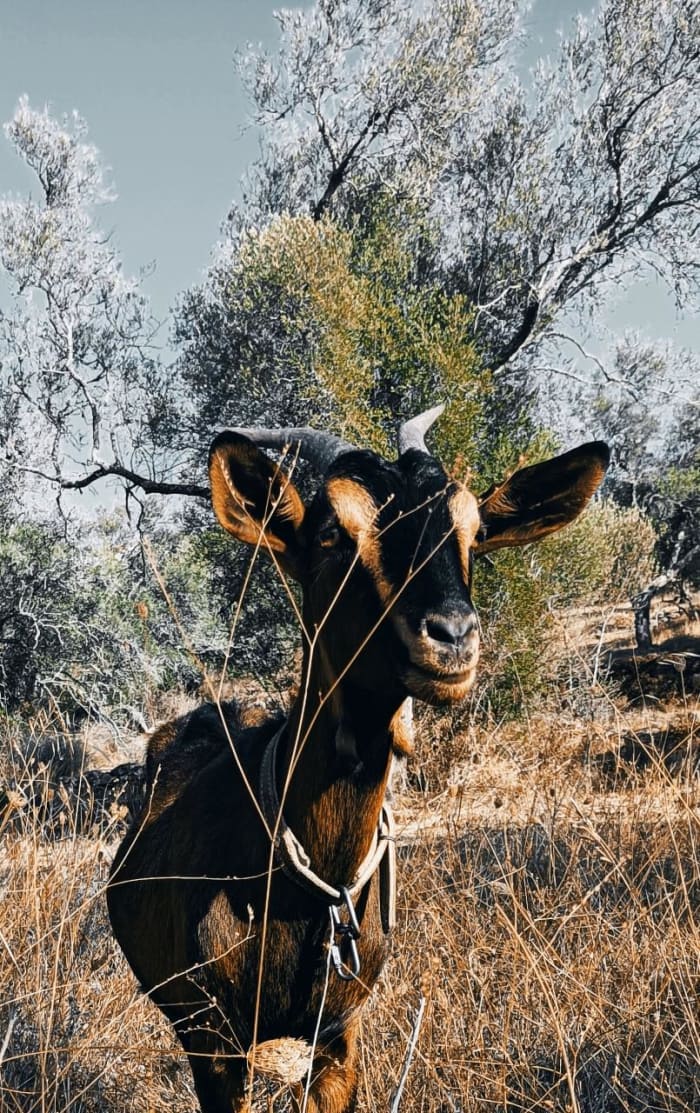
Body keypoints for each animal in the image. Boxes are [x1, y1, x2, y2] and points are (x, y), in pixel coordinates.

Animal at [106, 409, 609, 1113]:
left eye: (473, 534)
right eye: (330, 534)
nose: (452, 637)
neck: (311, 885)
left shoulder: (339, 1038)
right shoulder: (217, 1045)